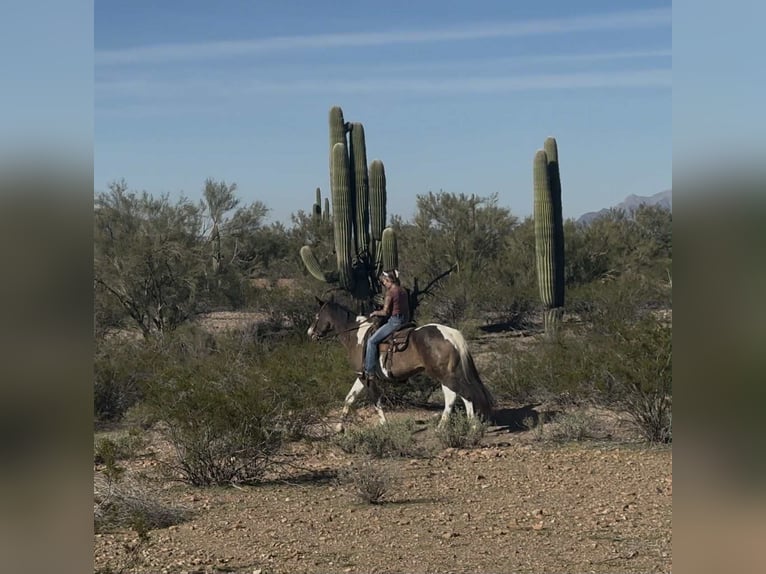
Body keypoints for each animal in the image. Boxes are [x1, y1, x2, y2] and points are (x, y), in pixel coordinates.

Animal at [307, 297, 495, 430]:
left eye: (317, 316)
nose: (310, 333)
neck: (356, 336)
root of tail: (451, 334)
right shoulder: (361, 376)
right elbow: (349, 399)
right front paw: (339, 428)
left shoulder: (366, 377)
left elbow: (376, 400)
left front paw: (384, 424)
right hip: (447, 374)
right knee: (455, 396)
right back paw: (448, 426)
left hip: (443, 374)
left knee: (463, 394)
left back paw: (470, 426)